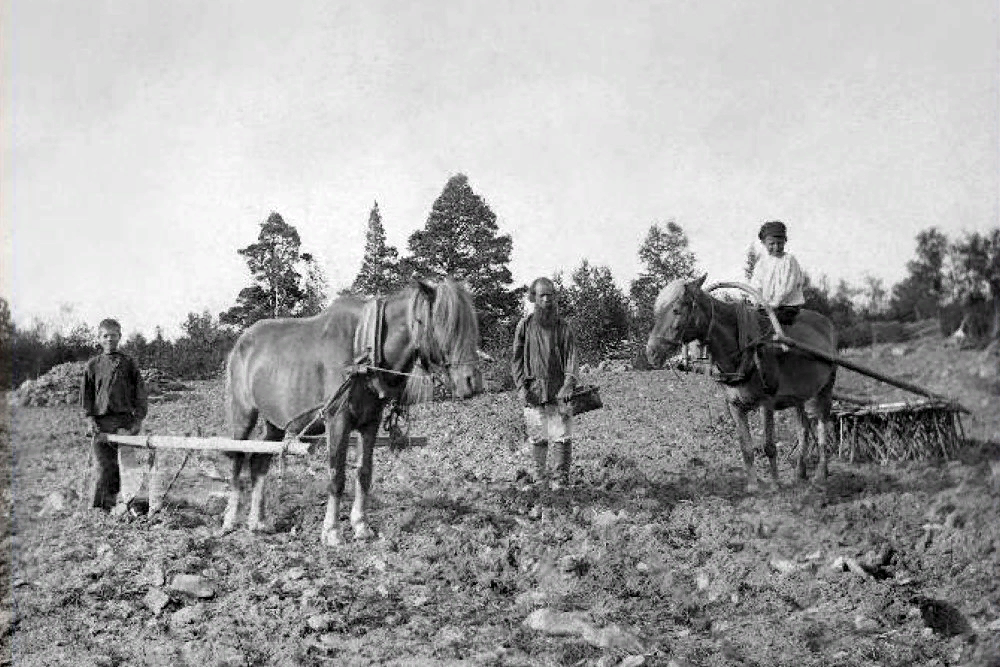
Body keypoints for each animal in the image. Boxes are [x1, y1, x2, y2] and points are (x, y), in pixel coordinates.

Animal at [225, 276, 482, 544]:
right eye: (444, 324)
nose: (472, 382)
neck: (363, 353)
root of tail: (243, 340)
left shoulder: (370, 422)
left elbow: (364, 473)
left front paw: (361, 525)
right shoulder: (338, 420)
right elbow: (336, 476)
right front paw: (332, 531)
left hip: (274, 421)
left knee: (259, 462)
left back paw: (258, 521)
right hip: (243, 412)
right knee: (237, 456)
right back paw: (231, 519)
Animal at [648, 276, 836, 490]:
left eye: (676, 310)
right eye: (657, 311)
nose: (651, 352)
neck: (745, 349)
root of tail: (826, 323)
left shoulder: (767, 402)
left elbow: (769, 446)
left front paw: (775, 485)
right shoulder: (735, 405)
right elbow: (745, 447)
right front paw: (753, 486)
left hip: (825, 390)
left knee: (822, 428)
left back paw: (820, 475)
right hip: (800, 396)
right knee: (803, 430)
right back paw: (799, 474)